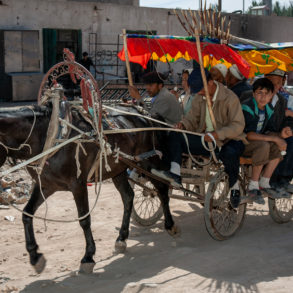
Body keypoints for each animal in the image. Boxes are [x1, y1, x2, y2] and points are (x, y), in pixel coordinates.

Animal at [0, 104, 178, 272]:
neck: (50, 136)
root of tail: (145, 113)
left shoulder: (78, 185)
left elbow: (84, 219)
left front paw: (88, 257)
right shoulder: (46, 185)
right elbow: (26, 214)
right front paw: (35, 255)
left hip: (148, 162)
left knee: (162, 190)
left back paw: (170, 225)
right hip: (118, 168)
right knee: (128, 196)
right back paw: (121, 238)